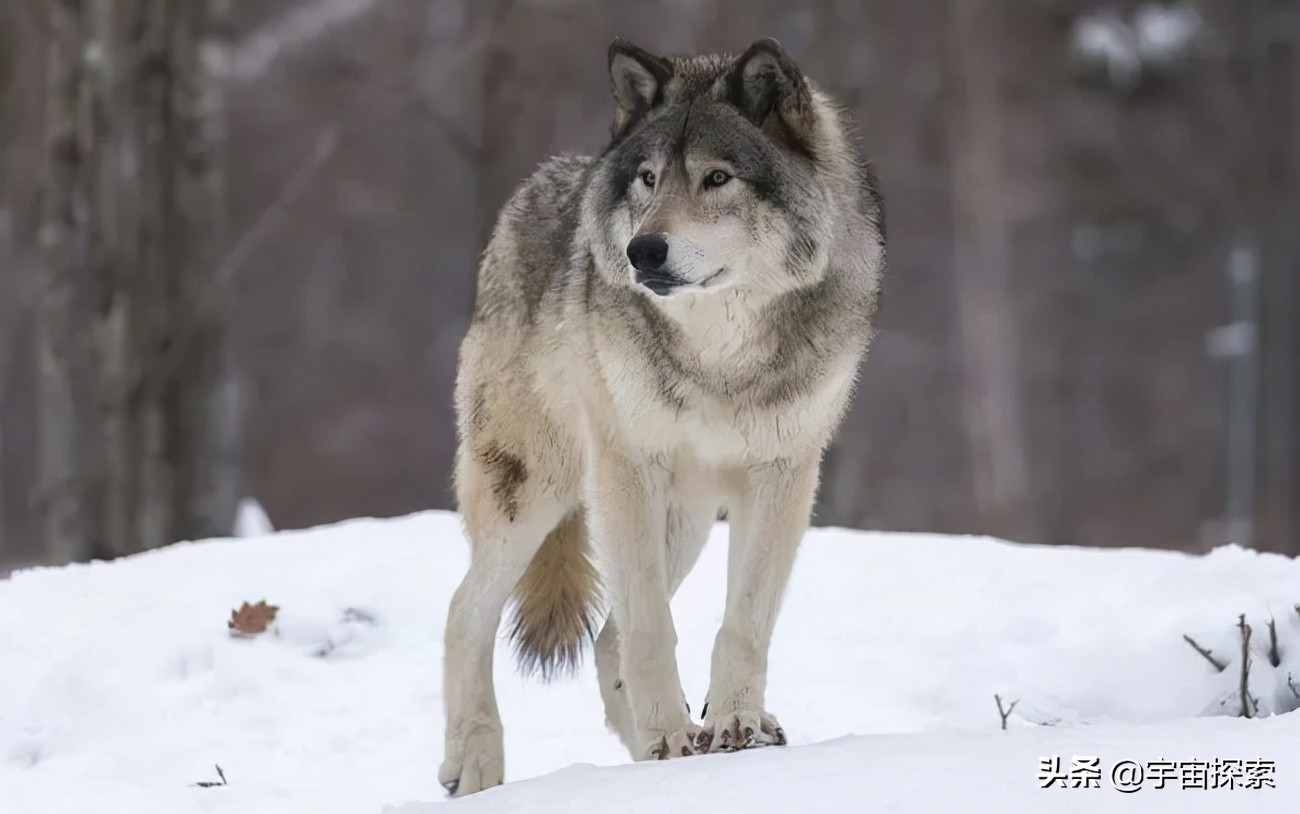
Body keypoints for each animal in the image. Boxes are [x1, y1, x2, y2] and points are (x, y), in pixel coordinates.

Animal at [439, 36, 883, 790]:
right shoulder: (626, 469)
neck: (720, 357)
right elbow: (651, 628)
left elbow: (743, 622)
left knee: (604, 639)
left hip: (686, 519)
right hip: (540, 493)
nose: (642, 250)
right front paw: (672, 740)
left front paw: (733, 725)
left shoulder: (785, 475)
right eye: (648, 179)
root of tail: (540, 183)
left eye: (716, 179)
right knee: (465, 612)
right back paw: (476, 762)